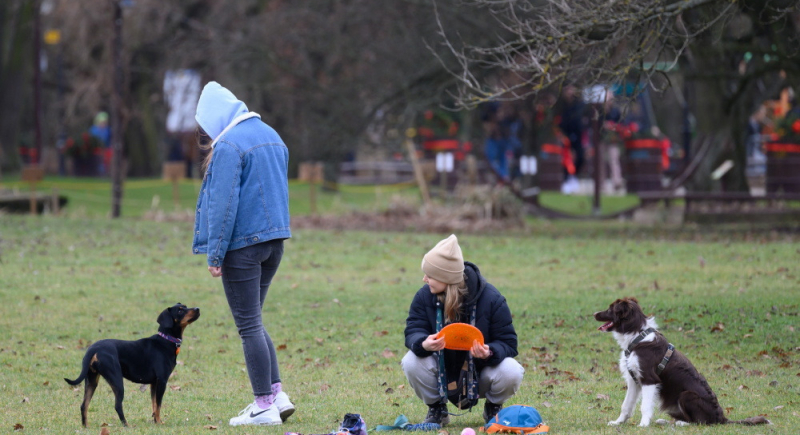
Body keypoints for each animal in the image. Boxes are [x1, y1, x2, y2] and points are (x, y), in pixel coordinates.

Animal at [65, 304, 200, 428]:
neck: (166, 340)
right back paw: (126, 425)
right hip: (117, 380)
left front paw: (156, 421)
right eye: (180, 310)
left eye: (185, 306)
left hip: (92, 380)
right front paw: (159, 423)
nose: (197, 308)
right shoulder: (162, 381)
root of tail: (93, 349)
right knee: (117, 405)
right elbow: (159, 405)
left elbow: (154, 405)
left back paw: (86, 427)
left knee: (84, 405)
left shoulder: (154, 383)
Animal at [592, 298, 768, 428]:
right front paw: (617, 423)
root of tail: (722, 418)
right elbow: (626, 405)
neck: (638, 336)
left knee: (700, 422)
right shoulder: (634, 380)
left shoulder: (649, 380)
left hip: (686, 395)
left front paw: (643, 425)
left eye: (610, 309)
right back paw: (667, 421)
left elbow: (645, 406)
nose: (594, 313)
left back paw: (681, 424)